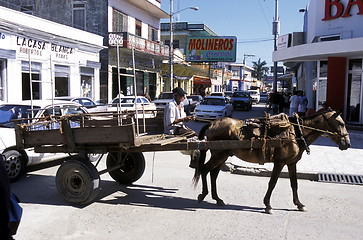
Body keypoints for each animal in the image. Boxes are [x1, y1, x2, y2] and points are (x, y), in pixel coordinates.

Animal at [195, 110, 352, 214]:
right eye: (340, 123)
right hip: (219, 155)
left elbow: (294, 184)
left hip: (223, 155)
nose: (347, 143)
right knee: (204, 170)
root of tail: (212, 123)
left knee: (213, 174)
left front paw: (299, 204)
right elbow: (272, 183)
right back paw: (203, 195)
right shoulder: (280, 162)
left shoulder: (291, 163)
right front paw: (268, 205)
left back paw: (217, 198)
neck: (297, 132)